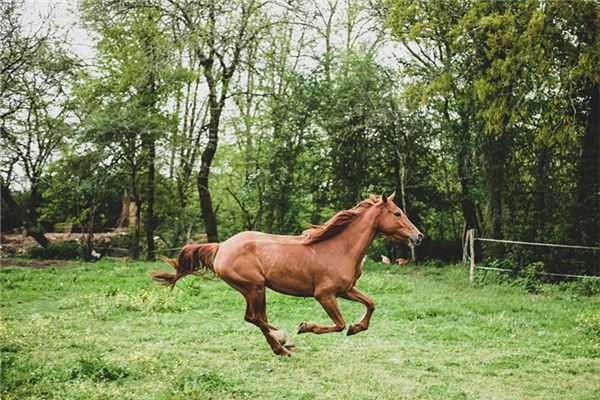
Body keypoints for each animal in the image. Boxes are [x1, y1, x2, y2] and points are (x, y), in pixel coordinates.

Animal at [150, 193, 422, 356]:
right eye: (397, 213)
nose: (418, 236)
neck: (339, 248)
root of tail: (222, 246)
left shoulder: (345, 290)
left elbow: (371, 304)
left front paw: (357, 328)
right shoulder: (325, 295)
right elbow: (338, 324)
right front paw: (305, 326)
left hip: (255, 290)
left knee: (256, 318)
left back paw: (281, 346)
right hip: (254, 287)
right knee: (256, 318)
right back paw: (284, 342)